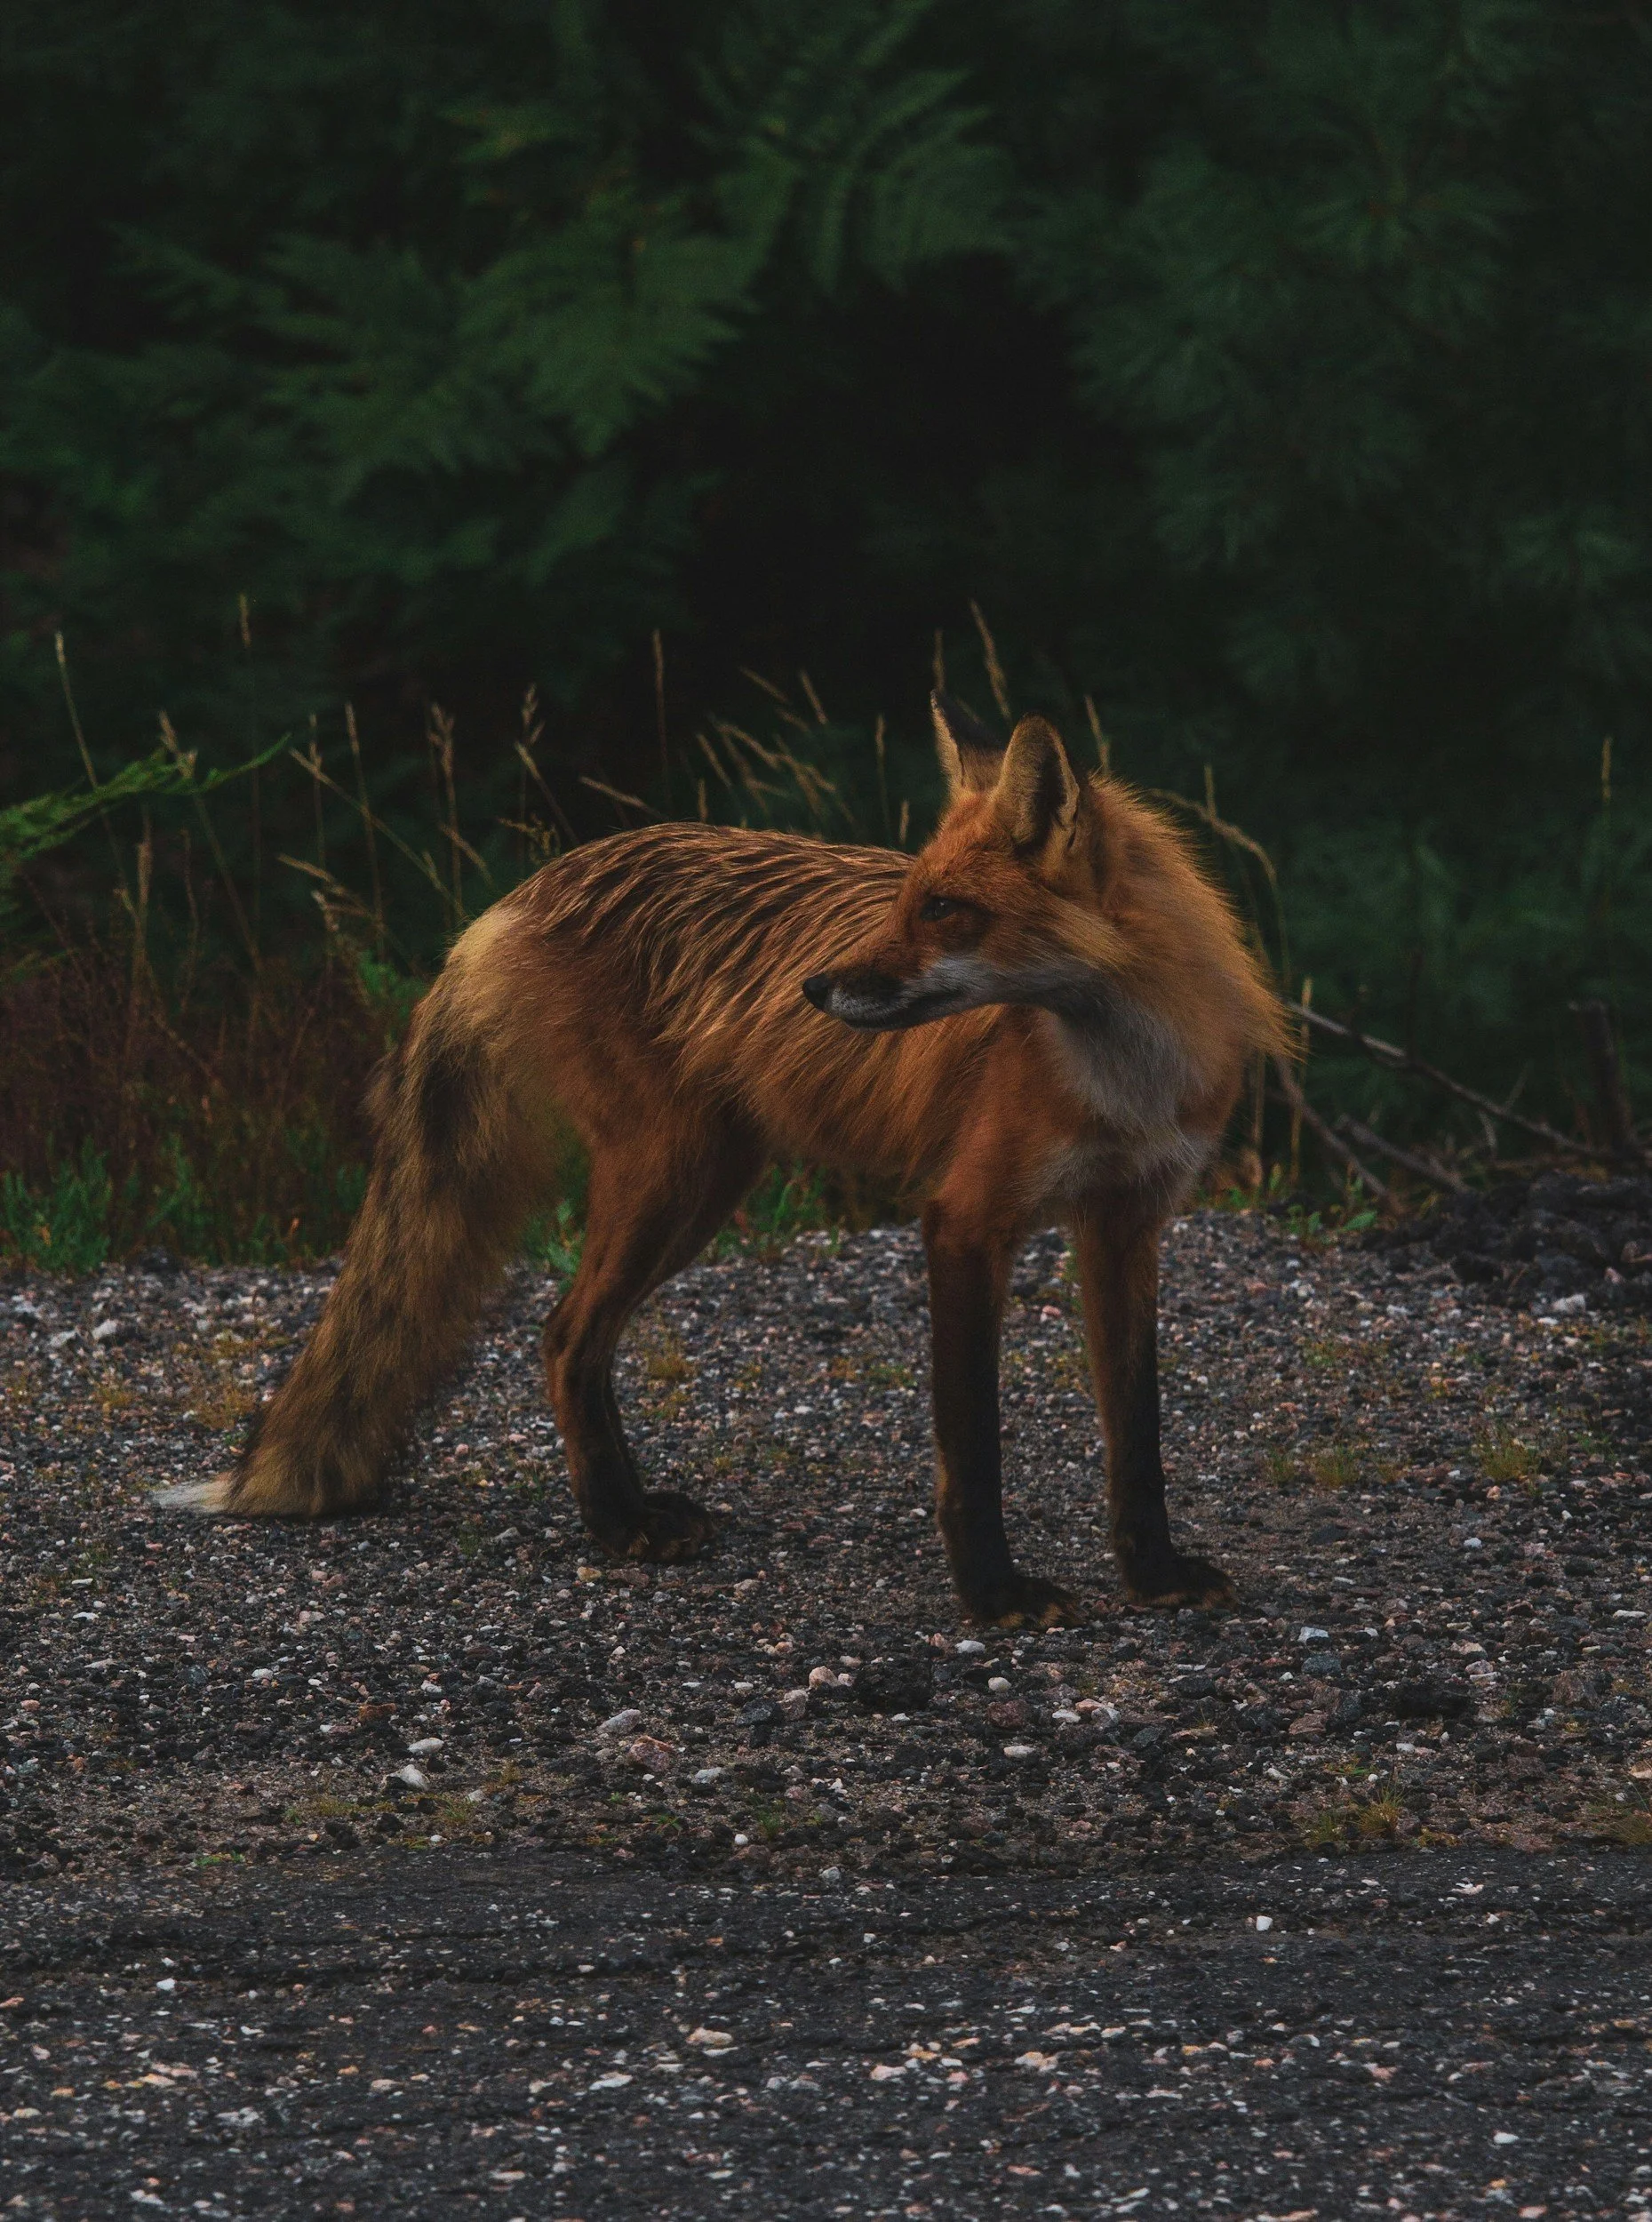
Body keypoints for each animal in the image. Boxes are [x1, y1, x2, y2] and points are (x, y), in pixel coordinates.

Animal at [160, 694, 1283, 1626]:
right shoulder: (965, 1221)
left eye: (942, 909)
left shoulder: (1126, 1222)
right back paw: (617, 1526)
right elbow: (972, 1445)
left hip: (703, 1184)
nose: (813, 989)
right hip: (670, 1177)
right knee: (562, 1333)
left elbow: (1136, 1433)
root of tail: (528, 888)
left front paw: (1151, 1571)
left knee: (578, 1340)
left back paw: (630, 1507)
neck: (1122, 1071)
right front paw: (993, 1594)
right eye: (903, 898)